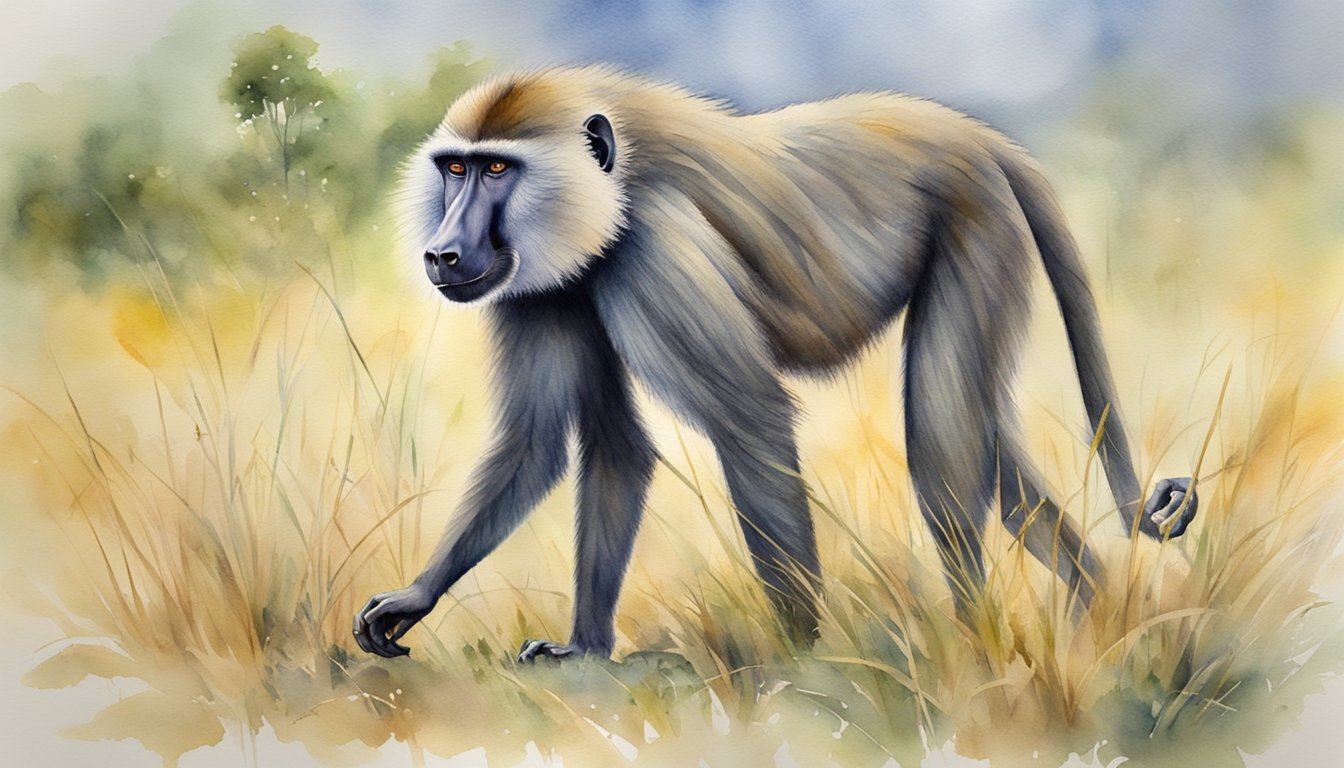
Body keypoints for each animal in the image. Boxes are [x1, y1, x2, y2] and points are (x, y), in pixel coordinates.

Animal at [352, 65, 1198, 662]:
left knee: (944, 443)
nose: (444, 251)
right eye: (455, 170)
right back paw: (1100, 607)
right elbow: (584, 446)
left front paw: (801, 650)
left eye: (497, 171)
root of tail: (971, 134)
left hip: (979, 225)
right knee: (993, 459)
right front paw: (531, 629)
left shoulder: (651, 248)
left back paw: (980, 639)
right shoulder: (553, 284)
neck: (611, 192)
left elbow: (750, 421)